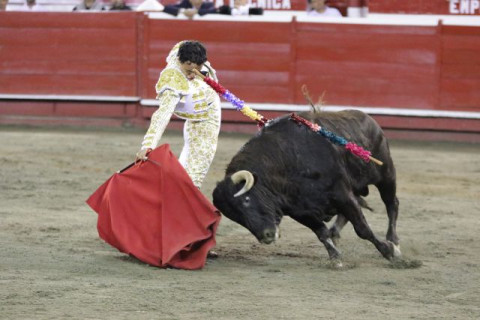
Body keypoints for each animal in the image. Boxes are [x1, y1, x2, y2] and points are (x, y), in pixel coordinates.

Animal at [214, 110, 402, 262]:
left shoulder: (341, 194)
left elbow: (362, 229)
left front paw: (389, 251)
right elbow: (321, 232)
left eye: (246, 200)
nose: (266, 236)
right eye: (236, 217)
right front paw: (335, 258)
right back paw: (336, 233)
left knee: (392, 204)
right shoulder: (300, 211)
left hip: (386, 175)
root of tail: (370, 120)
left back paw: (394, 241)